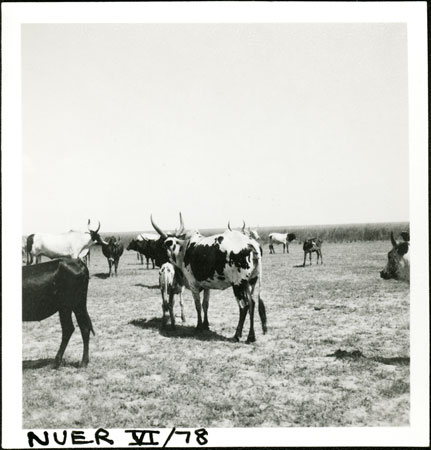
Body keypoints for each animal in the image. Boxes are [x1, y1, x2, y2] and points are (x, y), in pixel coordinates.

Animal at [151, 214, 266, 342]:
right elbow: (205, 304)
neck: (183, 249)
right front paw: (206, 324)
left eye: (160, 244)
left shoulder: (193, 285)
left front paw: (199, 326)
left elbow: (197, 305)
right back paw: (251, 336)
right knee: (252, 304)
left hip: (238, 284)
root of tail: (250, 243)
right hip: (250, 283)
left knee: (244, 306)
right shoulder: (207, 286)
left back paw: (237, 335)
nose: (156, 261)